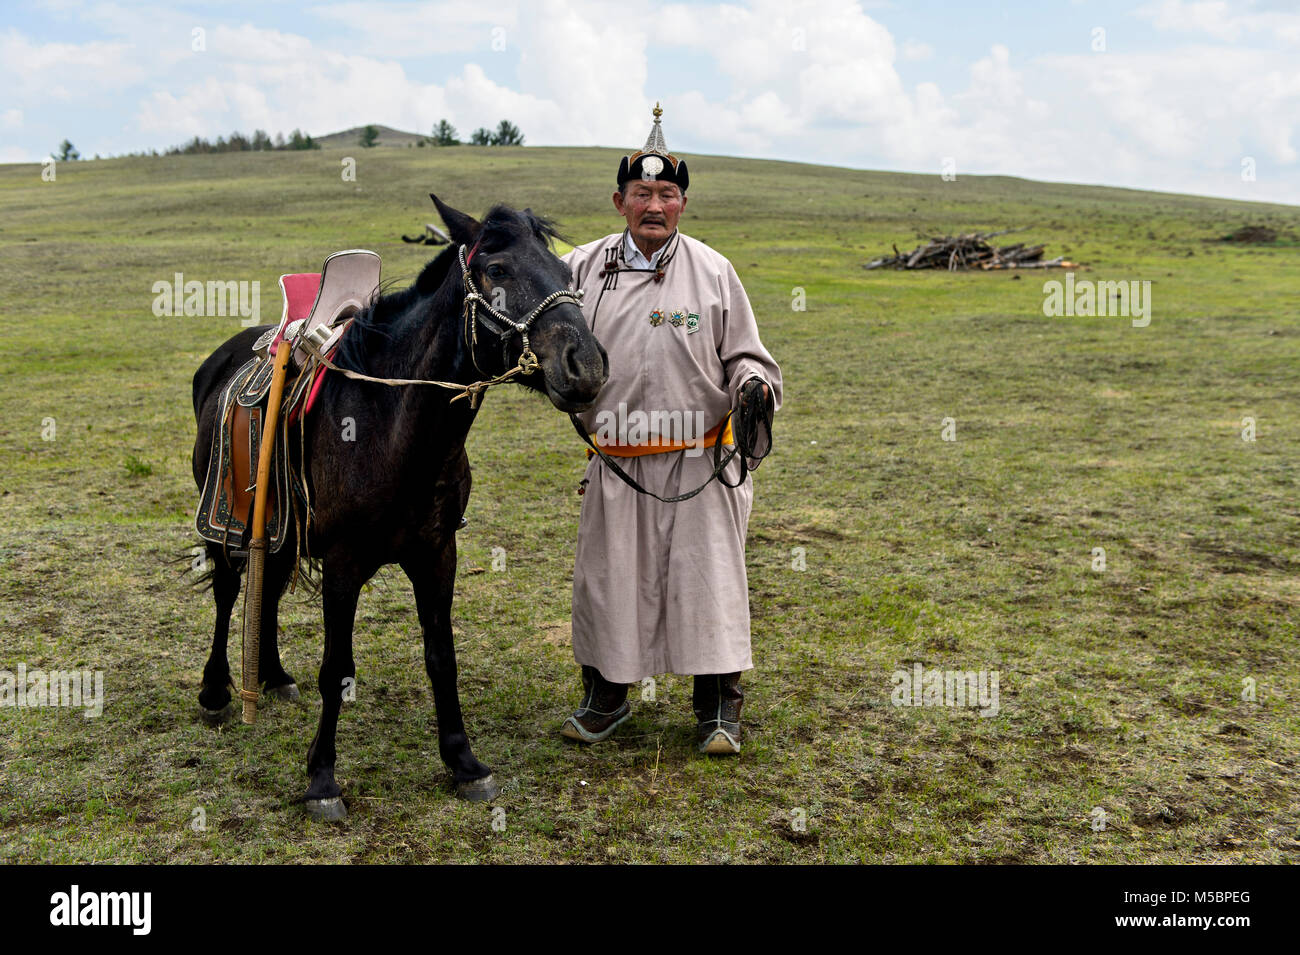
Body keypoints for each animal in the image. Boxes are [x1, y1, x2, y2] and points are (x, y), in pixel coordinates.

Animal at [189, 197, 605, 815]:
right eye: (498, 270)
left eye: (566, 274)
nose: (587, 366)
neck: (392, 426)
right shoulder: (343, 564)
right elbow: (335, 668)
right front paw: (322, 779)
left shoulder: (436, 554)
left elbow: (441, 655)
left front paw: (464, 762)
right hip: (226, 525)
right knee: (226, 590)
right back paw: (218, 690)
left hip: (282, 527)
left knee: (269, 585)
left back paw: (275, 676)